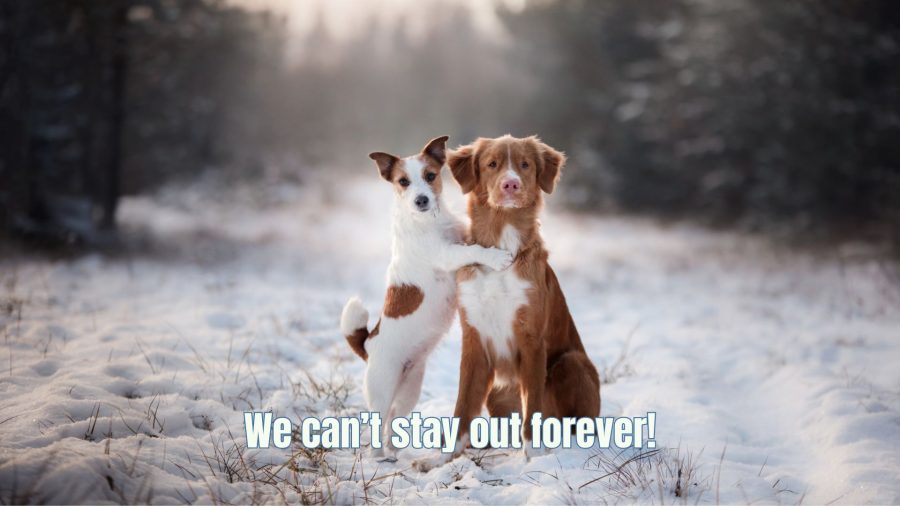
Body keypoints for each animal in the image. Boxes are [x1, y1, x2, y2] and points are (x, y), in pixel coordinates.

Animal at [340, 136, 512, 460]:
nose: (421, 200)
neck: (429, 221)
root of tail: (368, 345)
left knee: (394, 420)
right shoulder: (447, 254)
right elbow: (473, 251)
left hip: (410, 390)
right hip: (382, 389)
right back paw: (378, 458)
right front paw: (496, 257)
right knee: (377, 424)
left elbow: (470, 239)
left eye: (430, 176)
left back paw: (394, 453)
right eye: (403, 182)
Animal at [414, 135, 596, 470]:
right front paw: (443, 458)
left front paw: (534, 456)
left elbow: (533, 408)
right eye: (492, 164)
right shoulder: (473, 339)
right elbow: (462, 407)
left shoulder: (531, 338)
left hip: (571, 362)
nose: (511, 184)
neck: (501, 245)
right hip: (497, 392)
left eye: (525, 164)